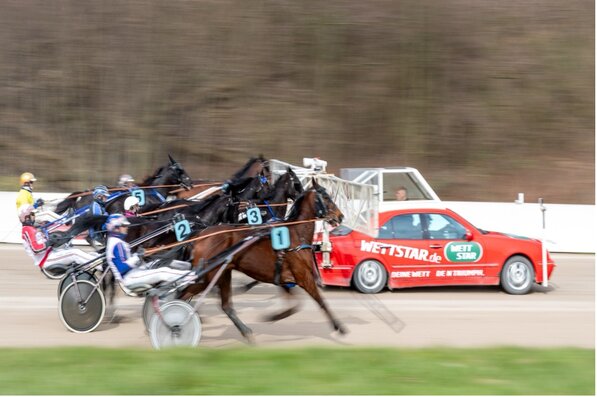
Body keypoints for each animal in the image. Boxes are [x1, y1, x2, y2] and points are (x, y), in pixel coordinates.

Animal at [178, 179, 344, 340]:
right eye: (326, 197)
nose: (341, 216)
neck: (295, 235)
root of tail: (200, 235)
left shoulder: (284, 278)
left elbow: (294, 307)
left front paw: (274, 316)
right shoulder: (304, 277)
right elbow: (320, 301)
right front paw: (339, 327)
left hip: (223, 273)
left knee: (224, 305)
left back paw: (244, 331)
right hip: (210, 275)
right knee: (184, 294)